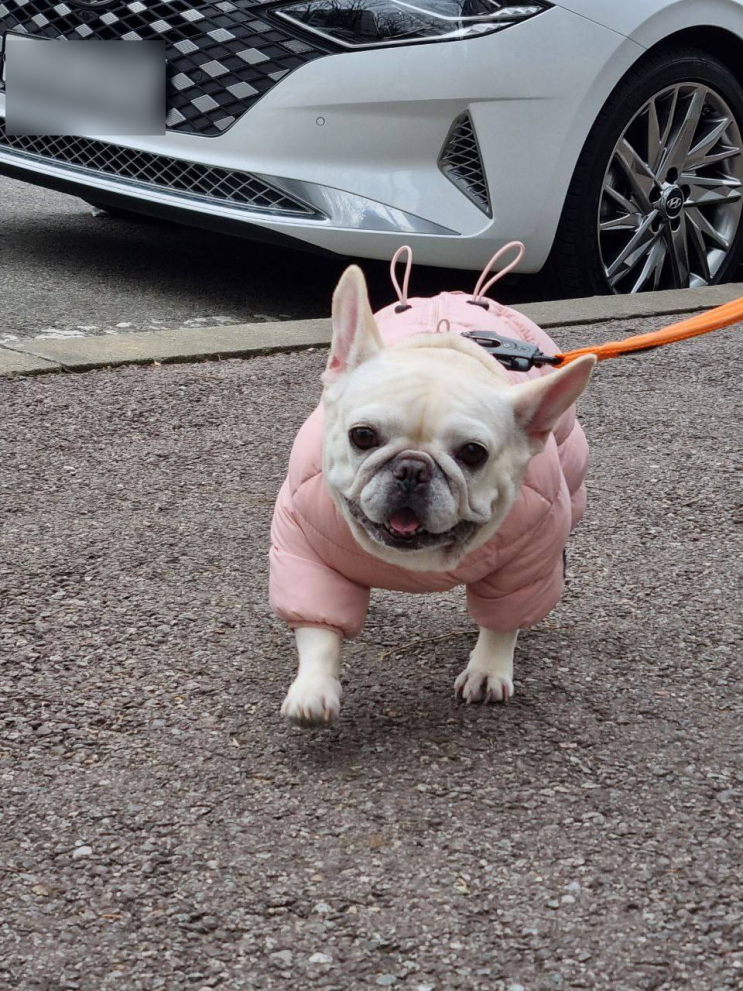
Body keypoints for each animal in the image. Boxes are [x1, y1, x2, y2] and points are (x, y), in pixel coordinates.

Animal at [270, 262, 595, 726]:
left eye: (473, 453)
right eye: (362, 435)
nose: (412, 469)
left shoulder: (526, 559)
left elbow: (503, 620)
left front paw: (487, 669)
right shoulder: (306, 549)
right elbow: (318, 626)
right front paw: (313, 688)